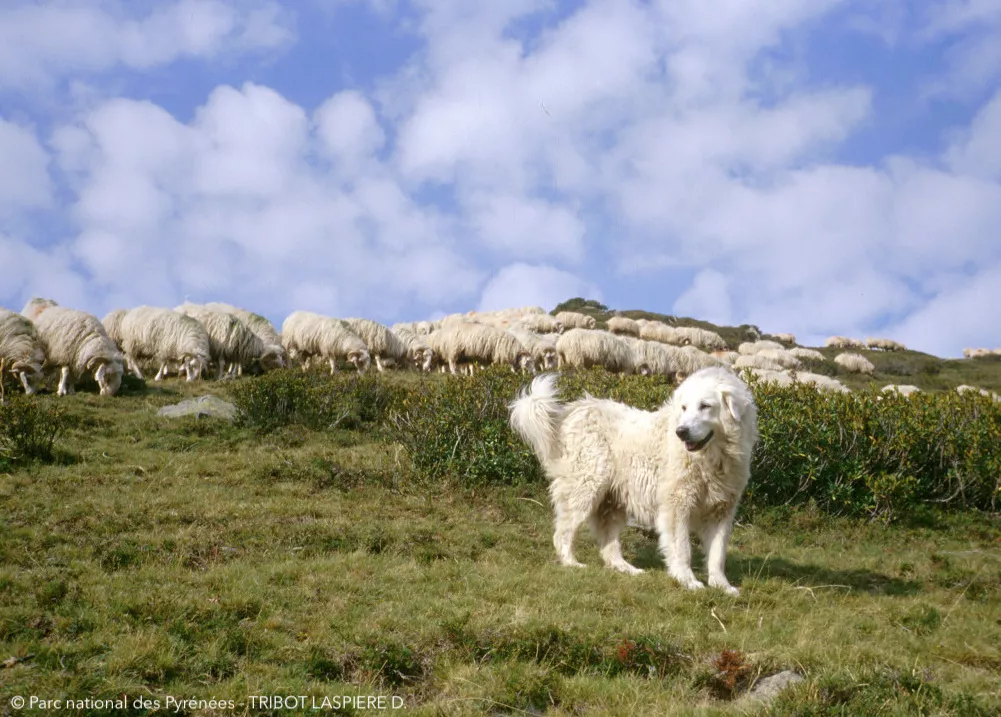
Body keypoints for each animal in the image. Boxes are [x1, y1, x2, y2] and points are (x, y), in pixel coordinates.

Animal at [508, 364, 756, 592]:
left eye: (705, 406)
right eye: (684, 407)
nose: (681, 431)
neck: (711, 459)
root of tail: (571, 413)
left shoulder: (721, 510)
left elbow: (717, 553)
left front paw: (722, 586)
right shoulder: (677, 506)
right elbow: (682, 548)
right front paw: (688, 581)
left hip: (611, 501)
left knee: (608, 543)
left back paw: (625, 568)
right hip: (587, 487)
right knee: (563, 532)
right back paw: (571, 563)